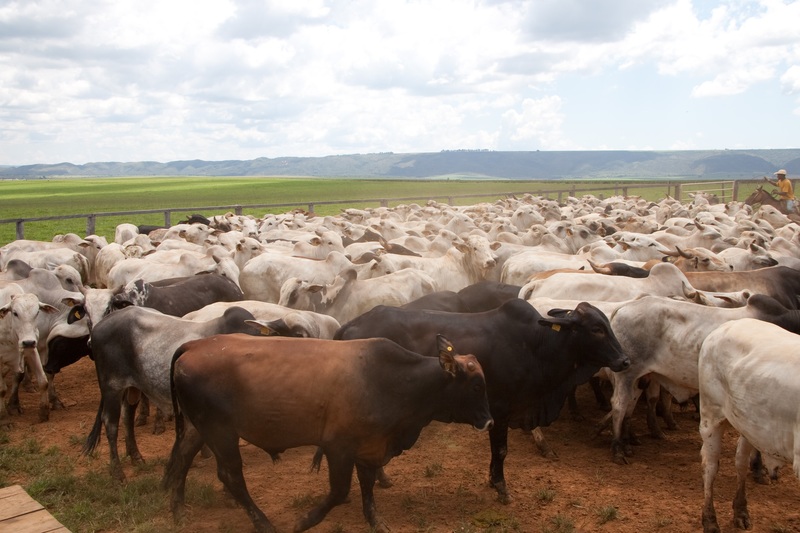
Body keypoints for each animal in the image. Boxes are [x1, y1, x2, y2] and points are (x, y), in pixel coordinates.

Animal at [161, 332, 494, 532]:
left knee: (182, 459)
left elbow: (368, 486)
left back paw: (178, 511)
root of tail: (194, 344)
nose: (489, 421)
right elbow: (339, 491)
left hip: (199, 428)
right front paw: (305, 520)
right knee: (230, 476)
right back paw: (263, 522)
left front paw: (375, 520)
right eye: (477, 386)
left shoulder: (369, 446)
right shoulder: (338, 448)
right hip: (221, 432)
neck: (392, 380)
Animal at [334, 300, 628, 502]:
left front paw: (491, 479)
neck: (537, 345)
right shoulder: (500, 410)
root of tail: (347, 326)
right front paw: (501, 487)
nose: (625, 360)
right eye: (597, 329)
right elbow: (501, 451)